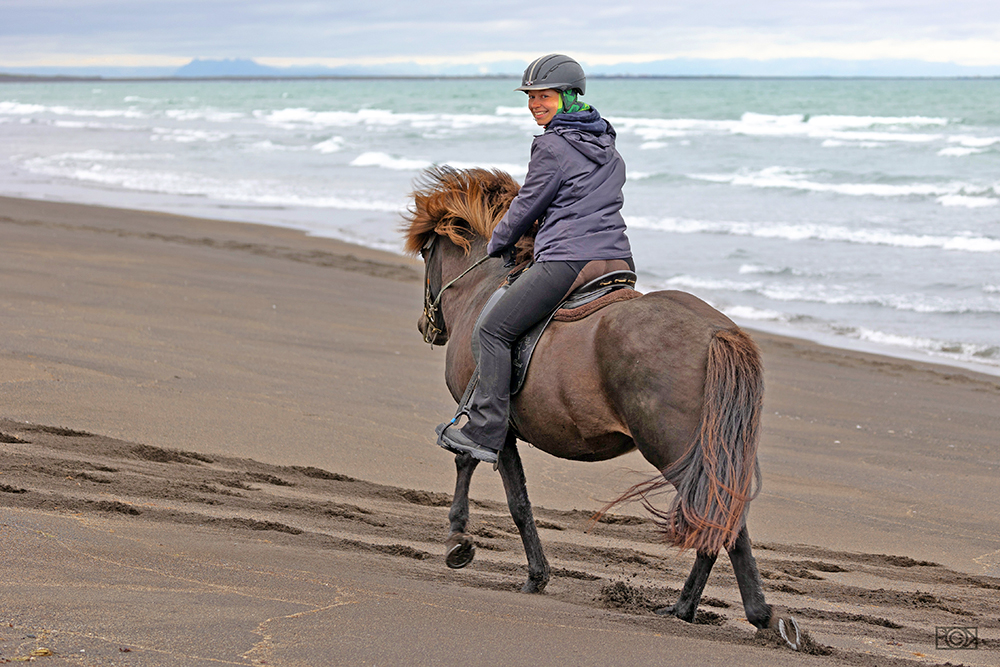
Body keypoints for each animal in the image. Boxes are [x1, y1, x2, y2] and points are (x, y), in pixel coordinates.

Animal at [402, 166, 800, 648]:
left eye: (427, 251)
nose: (426, 325)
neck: (484, 290)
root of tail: (716, 332)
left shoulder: (489, 421)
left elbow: (504, 491)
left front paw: (468, 545)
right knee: (720, 518)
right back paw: (695, 609)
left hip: (678, 452)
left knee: (715, 517)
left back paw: (740, 612)